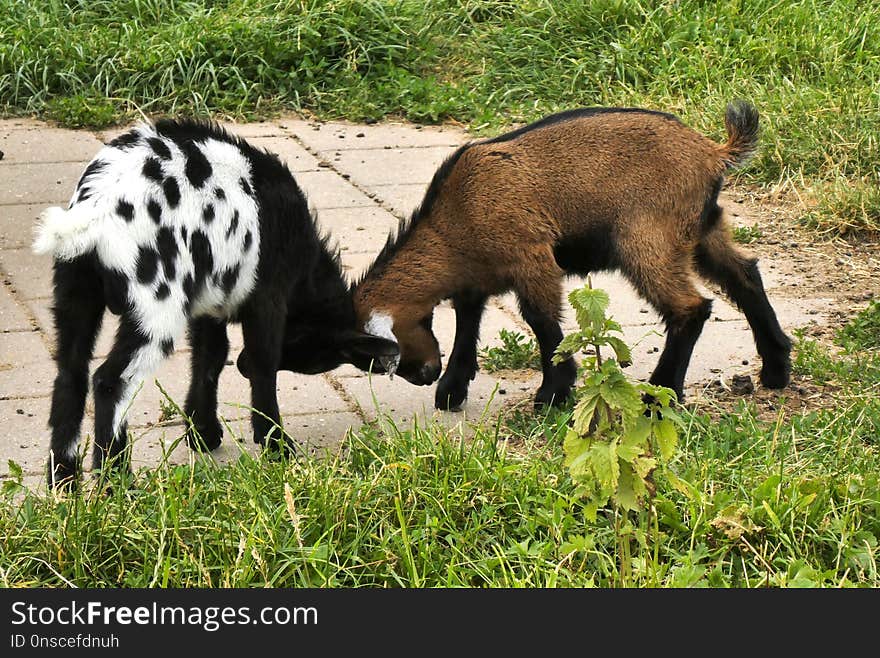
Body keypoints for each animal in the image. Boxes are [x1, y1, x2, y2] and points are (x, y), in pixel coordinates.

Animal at [34, 119, 398, 486]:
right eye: (314, 359)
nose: (242, 366)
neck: (305, 271)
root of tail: (97, 207)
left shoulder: (208, 303)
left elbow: (209, 356)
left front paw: (202, 432)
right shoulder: (268, 296)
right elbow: (264, 362)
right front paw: (275, 442)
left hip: (74, 290)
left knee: (70, 374)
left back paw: (64, 480)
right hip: (157, 305)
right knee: (111, 382)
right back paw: (117, 483)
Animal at [348, 100, 792, 408]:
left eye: (381, 359)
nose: (425, 376)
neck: (455, 217)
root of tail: (714, 152)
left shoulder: (532, 257)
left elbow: (542, 323)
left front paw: (553, 393)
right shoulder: (477, 277)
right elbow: (467, 320)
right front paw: (451, 390)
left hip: (647, 237)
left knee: (691, 307)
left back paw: (658, 394)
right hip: (701, 229)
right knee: (745, 274)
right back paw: (776, 369)